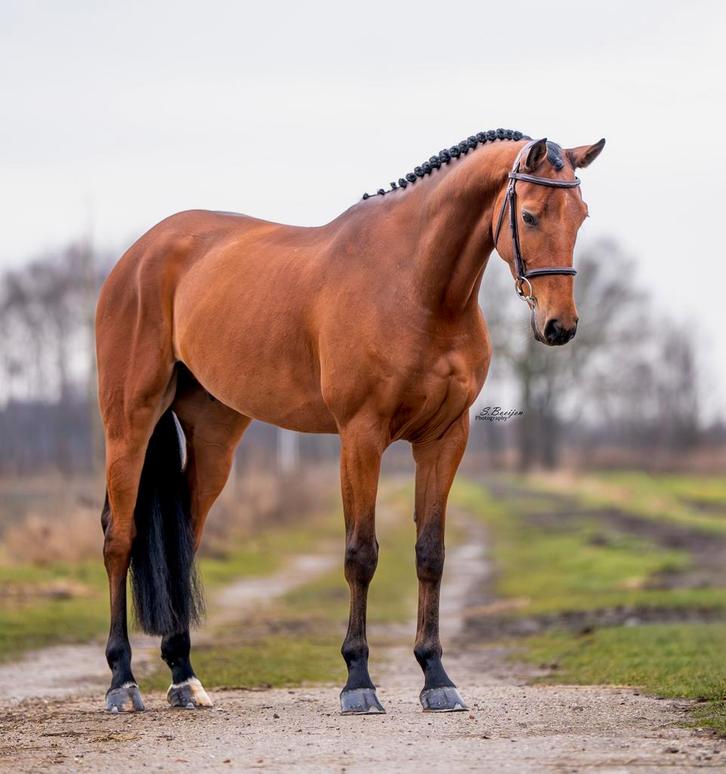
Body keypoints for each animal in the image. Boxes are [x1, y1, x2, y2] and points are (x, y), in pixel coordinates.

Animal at [95, 129, 604, 714]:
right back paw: (122, 681)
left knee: (183, 538)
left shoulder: (444, 439)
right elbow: (361, 554)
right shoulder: (361, 436)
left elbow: (431, 553)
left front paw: (436, 676)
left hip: (214, 435)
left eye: (581, 215)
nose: (559, 325)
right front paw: (358, 680)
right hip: (128, 422)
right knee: (120, 538)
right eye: (529, 215)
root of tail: (138, 255)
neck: (416, 286)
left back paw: (184, 677)